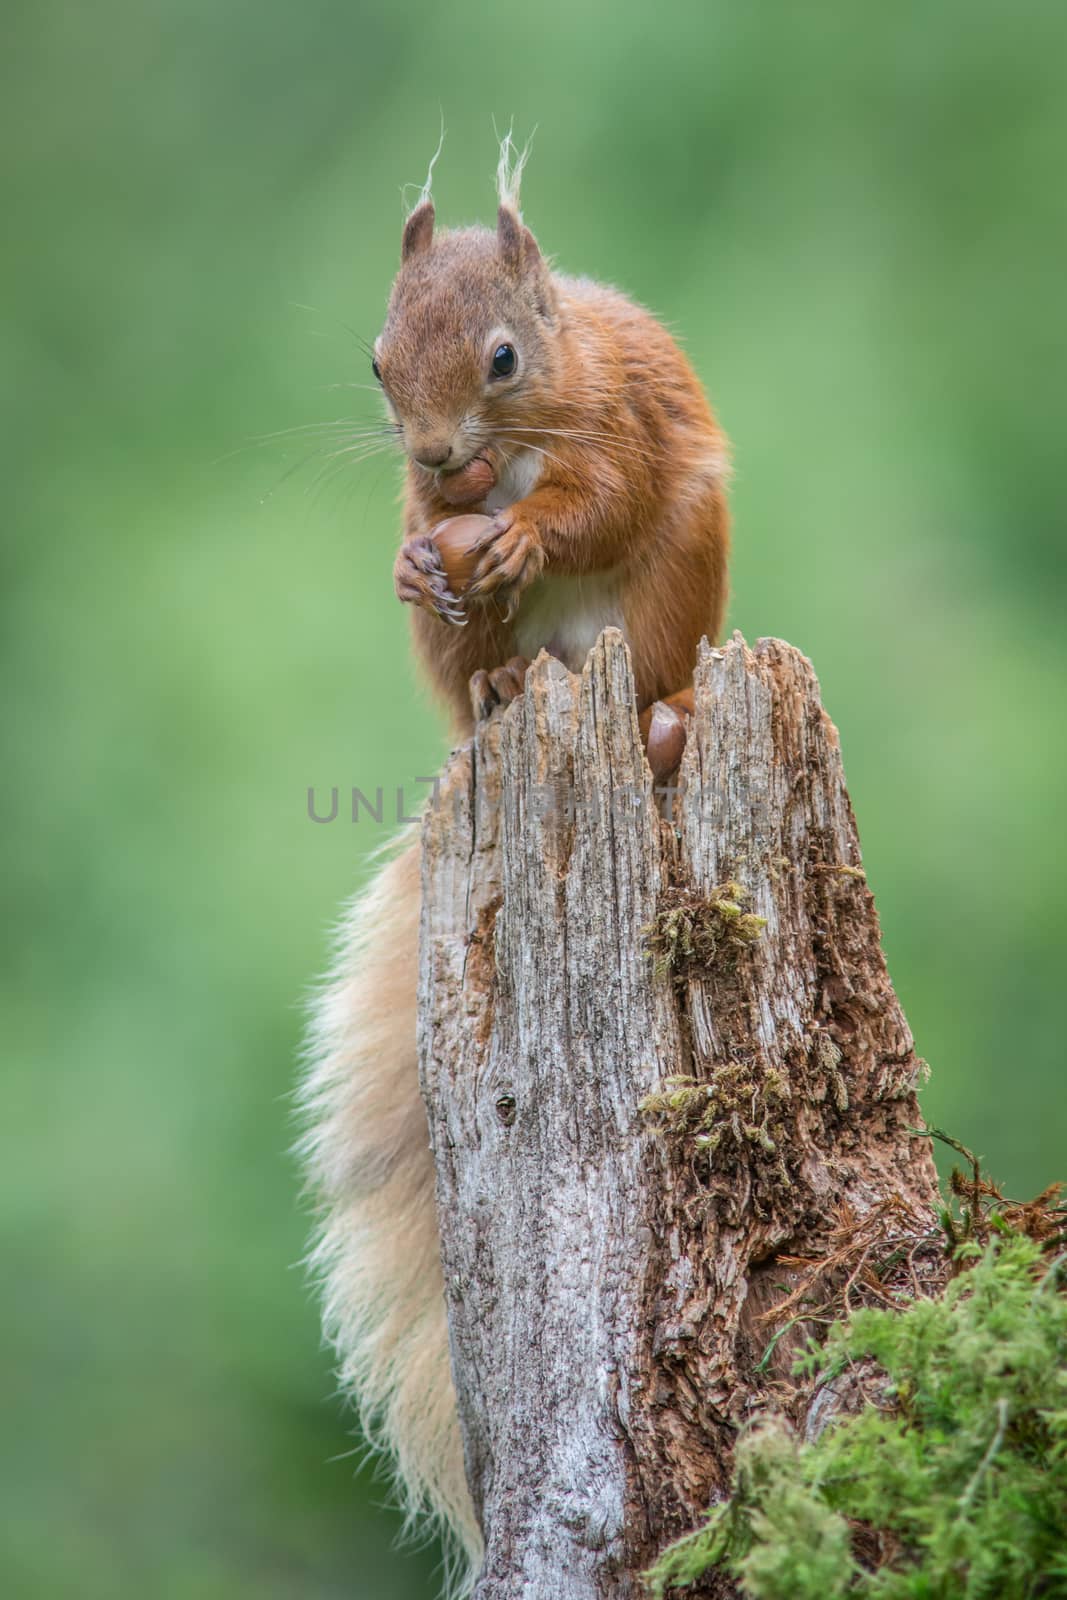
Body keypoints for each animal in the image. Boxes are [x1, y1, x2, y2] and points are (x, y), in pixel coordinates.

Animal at [303, 162, 729, 1587]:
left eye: (501, 357)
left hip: (668, 599)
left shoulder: (622, 428)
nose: (438, 453)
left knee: (645, 663)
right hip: (467, 667)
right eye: (377, 360)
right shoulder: (430, 496)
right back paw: (493, 684)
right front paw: (425, 550)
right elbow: (428, 538)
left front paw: (525, 532)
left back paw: (657, 722)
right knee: (480, 669)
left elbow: (595, 501)